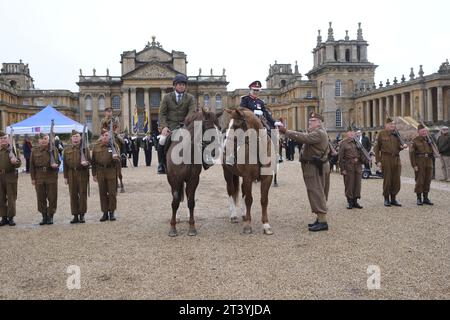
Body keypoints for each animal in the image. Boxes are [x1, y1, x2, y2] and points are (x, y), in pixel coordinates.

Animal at [221, 107, 274, 235]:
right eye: (227, 125)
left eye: (236, 125)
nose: (225, 149)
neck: (259, 149)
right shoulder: (248, 177)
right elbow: (249, 199)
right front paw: (248, 226)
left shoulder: (267, 178)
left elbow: (264, 200)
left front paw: (266, 225)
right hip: (228, 173)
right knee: (230, 190)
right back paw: (233, 215)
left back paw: (244, 214)